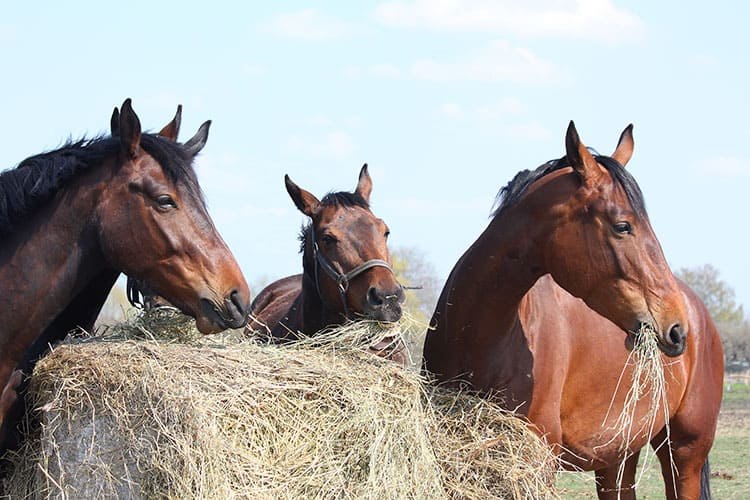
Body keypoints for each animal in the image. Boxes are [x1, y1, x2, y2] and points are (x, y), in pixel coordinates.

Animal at [424, 122, 724, 500]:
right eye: (623, 225)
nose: (676, 327)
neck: (477, 337)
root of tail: (700, 313)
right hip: (617, 457)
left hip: (682, 453)